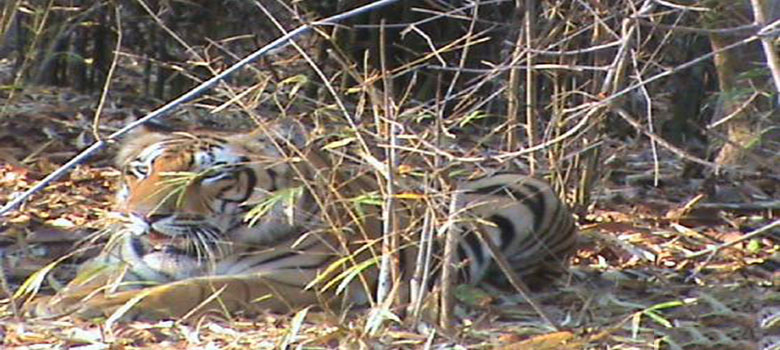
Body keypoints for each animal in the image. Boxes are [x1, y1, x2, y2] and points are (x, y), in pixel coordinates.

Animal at [29, 121, 580, 322]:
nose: (144, 216)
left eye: (211, 175)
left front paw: (85, 309)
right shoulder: (122, 261)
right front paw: (55, 300)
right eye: (142, 171)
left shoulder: (297, 280)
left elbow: (188, 291)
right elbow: (89, 278)